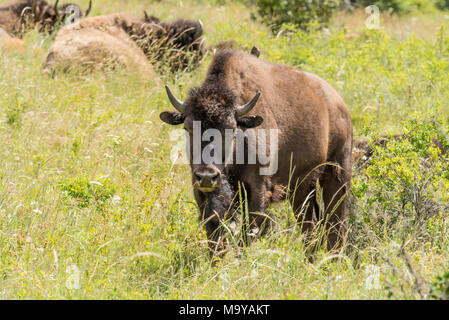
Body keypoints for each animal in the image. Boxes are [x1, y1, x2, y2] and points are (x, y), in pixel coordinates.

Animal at [159, 49, 352, 255]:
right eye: (187, 128)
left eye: (231, 129)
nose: (206, 175)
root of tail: (340, 105)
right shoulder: (202, 194)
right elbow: (216, 240)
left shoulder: (258, 192)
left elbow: (246, 236)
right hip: (301, 189)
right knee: (311, 229)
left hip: (337, 175)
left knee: (336, 228)